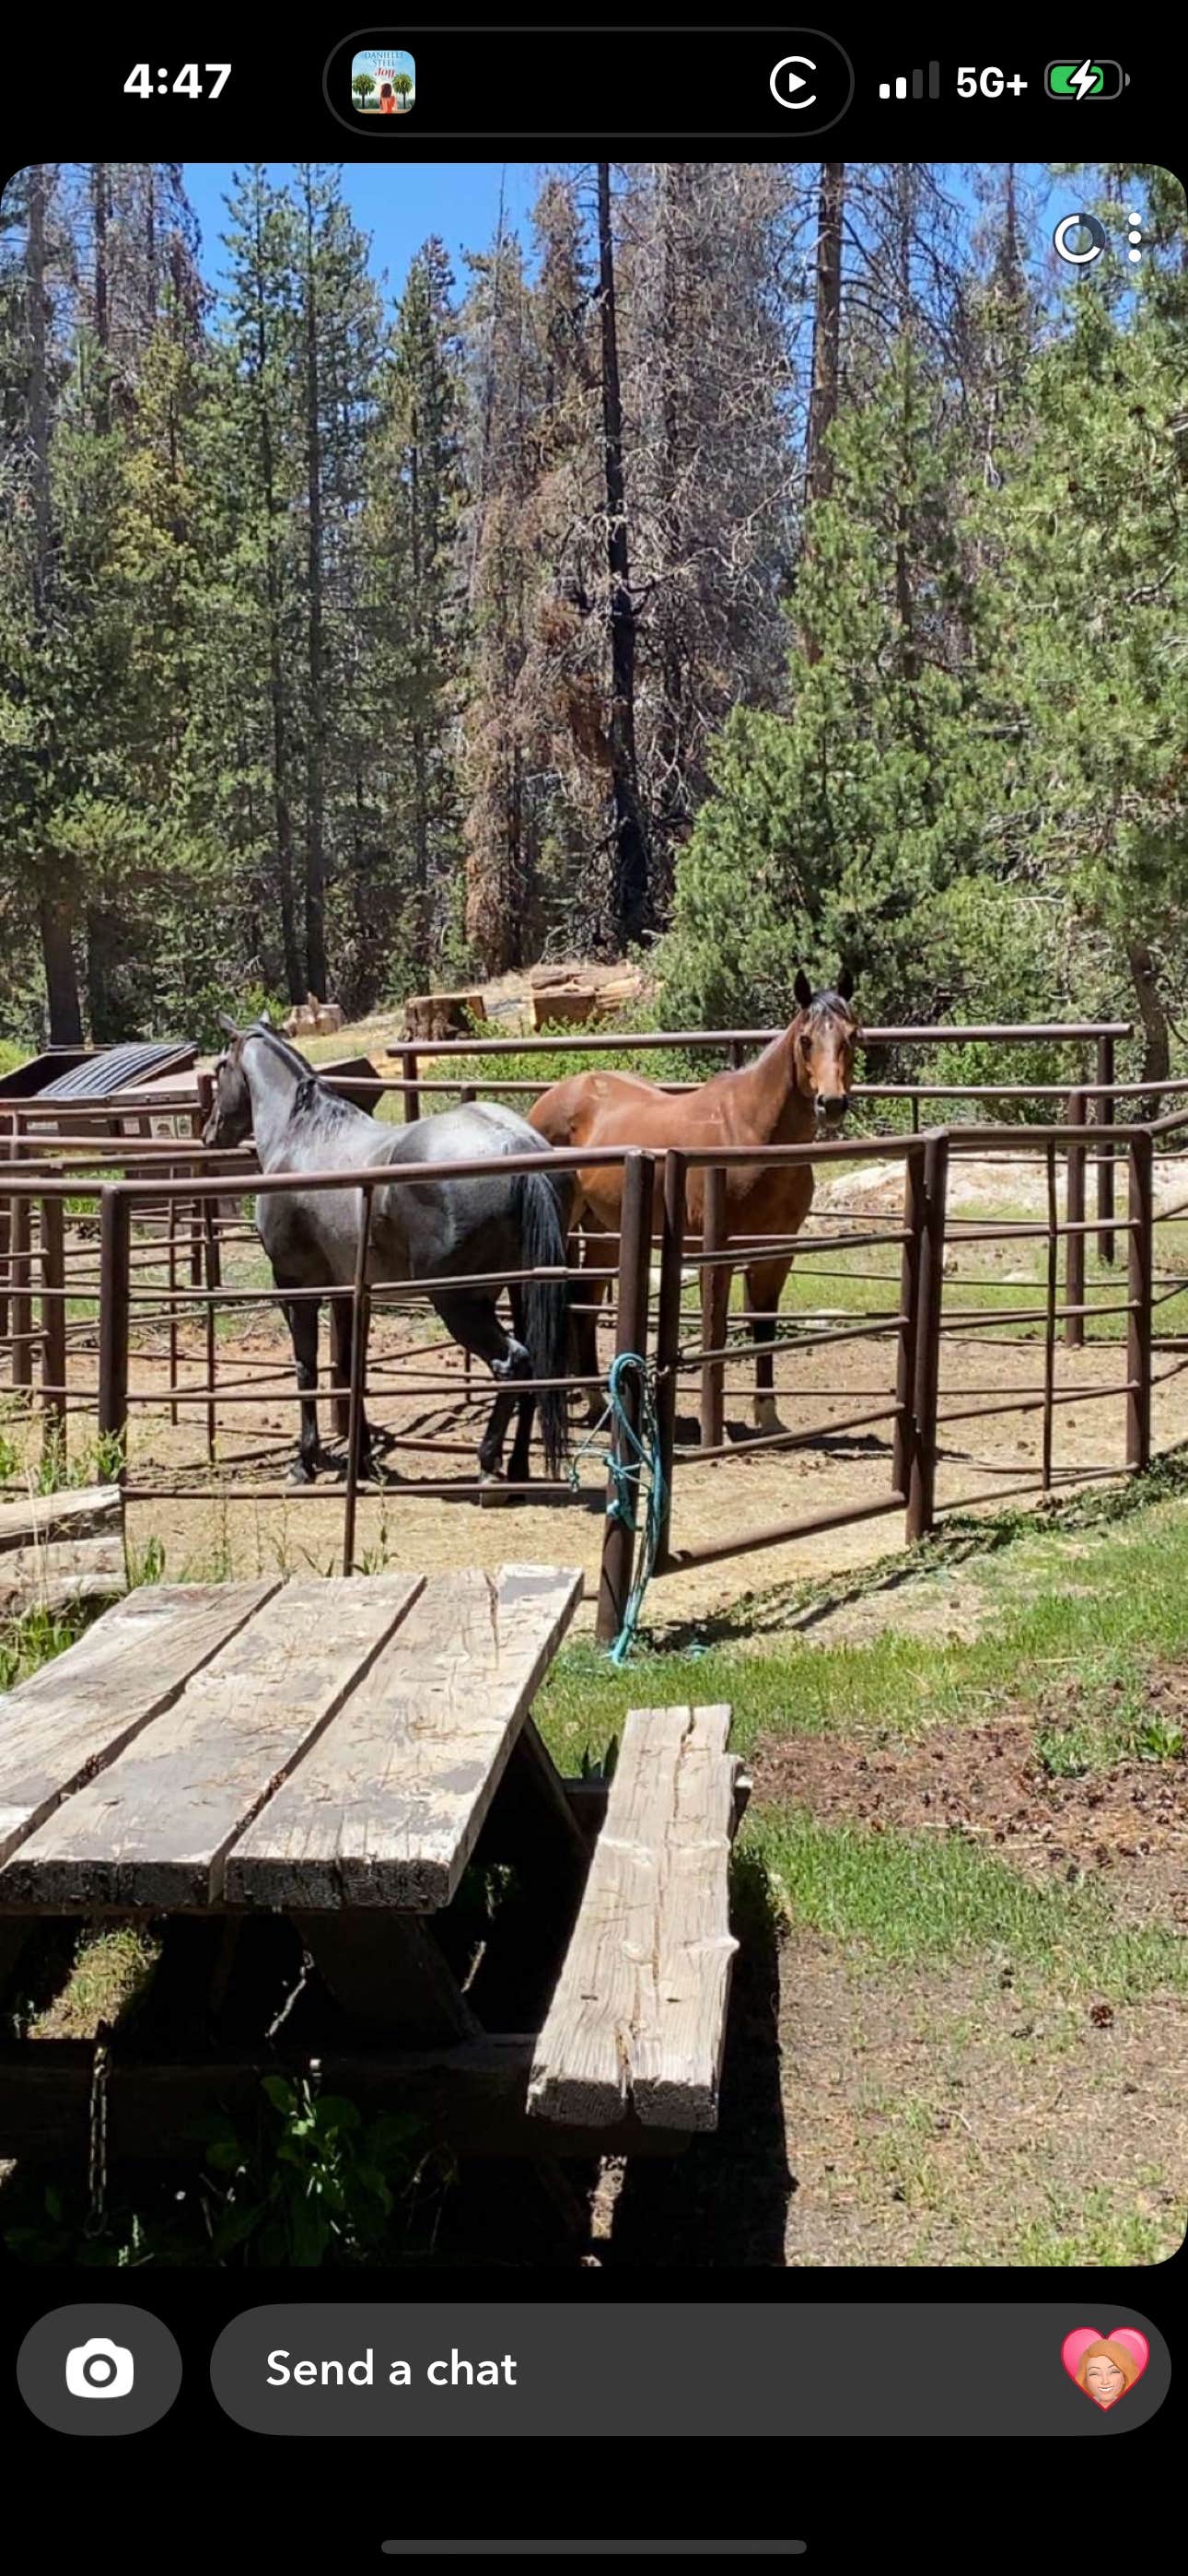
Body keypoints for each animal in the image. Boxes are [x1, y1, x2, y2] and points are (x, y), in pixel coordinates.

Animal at [203, 1019, 572, 1490]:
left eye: (220, 1067)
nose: (209, 1132)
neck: (301, 1135)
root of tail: (517, 1146)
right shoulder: (349, 1291)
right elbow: (350, 1368)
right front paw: (361, 1460)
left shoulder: (295, 1287)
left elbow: (306, 1367)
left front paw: (304, 1462)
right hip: (522, 1289)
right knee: (537, 1364)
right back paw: (519, 1465)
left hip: (460, 1302)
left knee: (513, 1362)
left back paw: (488, 1464)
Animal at [528, 969, 860, 1436]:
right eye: (806, 1040)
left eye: (852, 1035)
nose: (831, 1104)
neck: (751, 1133)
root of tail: (552, 1098)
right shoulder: (714, 1253)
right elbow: (714, 1333)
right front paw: (711, 1427)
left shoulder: (776, 1253)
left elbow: (764, 1327)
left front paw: (768, 1416)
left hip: (603, 1231)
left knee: (584, 1303)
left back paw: (598, 1402)